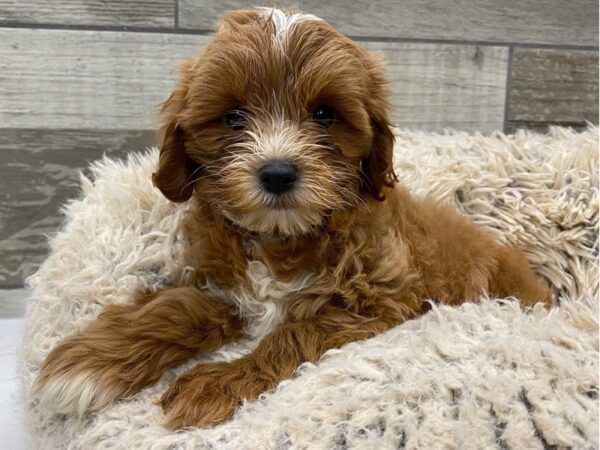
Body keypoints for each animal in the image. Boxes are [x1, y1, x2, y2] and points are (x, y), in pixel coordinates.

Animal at [34, 7, 552, 428]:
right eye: (233, 116)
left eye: (324, 114)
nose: (278, 172)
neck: (280, 237)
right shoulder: (223, 285)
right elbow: (178, 306)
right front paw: (88, 363)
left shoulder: (379, 302)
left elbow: (293, 334)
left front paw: (217, 383)